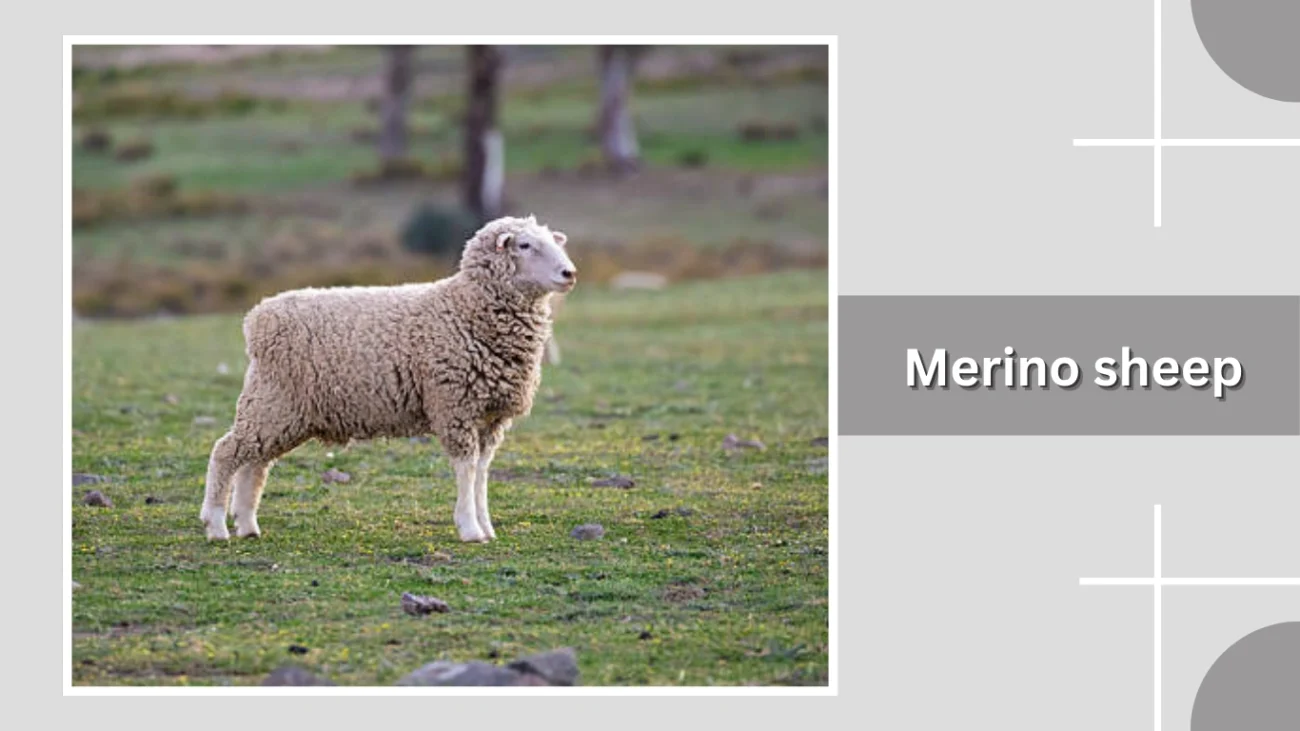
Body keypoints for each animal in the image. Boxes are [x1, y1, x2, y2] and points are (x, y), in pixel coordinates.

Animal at [198, 215, 577, 543]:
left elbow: (482, 473)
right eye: (524, 245)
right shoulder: (454, 406)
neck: (465, 308)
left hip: (283, 413)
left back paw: (247, 524)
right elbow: (467, 470)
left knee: (255, 463)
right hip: (270, 402)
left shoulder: (490, 416)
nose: (569, 273)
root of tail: (257, 316)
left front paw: (485, 525)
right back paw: (216, 524)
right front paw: (469, 528)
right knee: (226, 452)